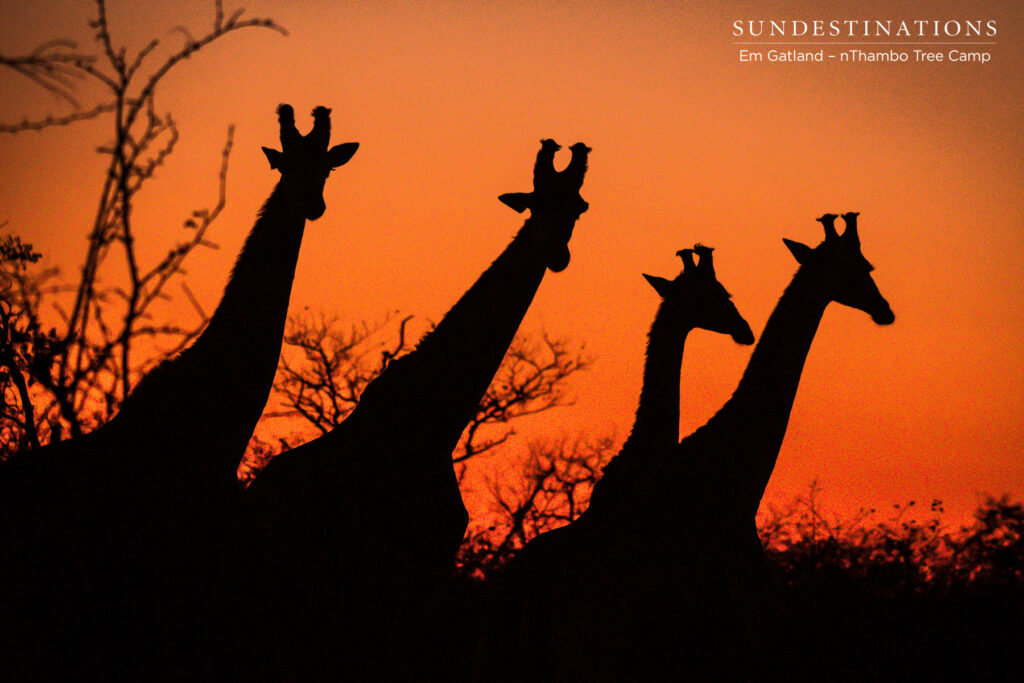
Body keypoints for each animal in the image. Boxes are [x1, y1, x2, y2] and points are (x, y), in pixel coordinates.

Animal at [241, 139, 591, 680]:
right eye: (535, 203)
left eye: (575, 207)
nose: (556, 252)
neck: (430, 426)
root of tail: (256, 495)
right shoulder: (373, 577)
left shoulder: (423, 577)